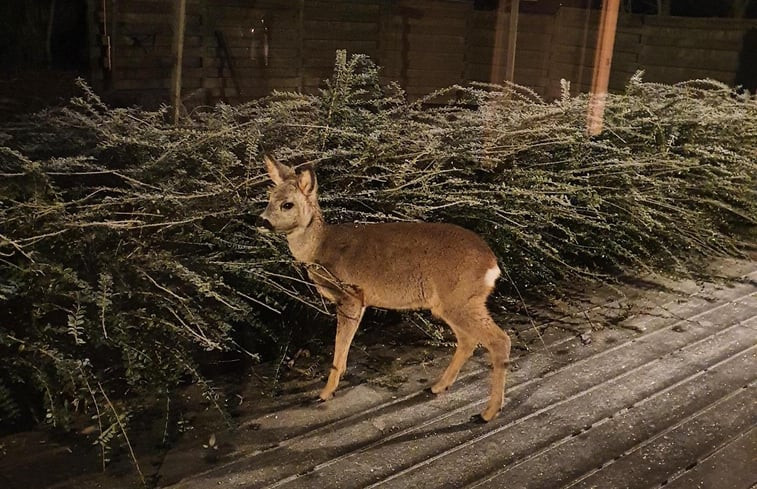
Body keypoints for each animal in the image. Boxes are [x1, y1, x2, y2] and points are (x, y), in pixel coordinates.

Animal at [256, 155, 510, 420]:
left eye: (287, 204)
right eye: (269, 197)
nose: (260, 220)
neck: (320, 248)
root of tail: (491, 264)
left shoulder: (350, 295)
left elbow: (340, 344)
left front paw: (325, 393)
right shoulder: (361, 301)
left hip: (460, 299)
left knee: (499, 340)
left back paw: (487, 413)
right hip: (453, 303)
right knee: (468, 340)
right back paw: (439, 387)